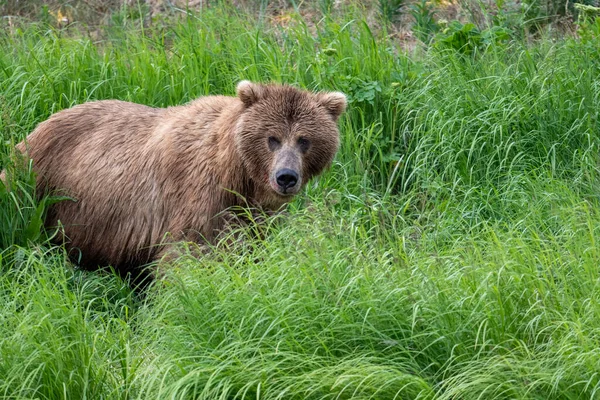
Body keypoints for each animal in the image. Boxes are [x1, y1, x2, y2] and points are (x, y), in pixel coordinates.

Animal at [3, 81, 346, 278]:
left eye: (304, 140)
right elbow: (185, 257)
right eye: (272, 138)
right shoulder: (197, 198)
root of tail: (40, 123)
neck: (237, 176)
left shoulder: (254, 216)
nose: (286, 177)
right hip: (37, 180)